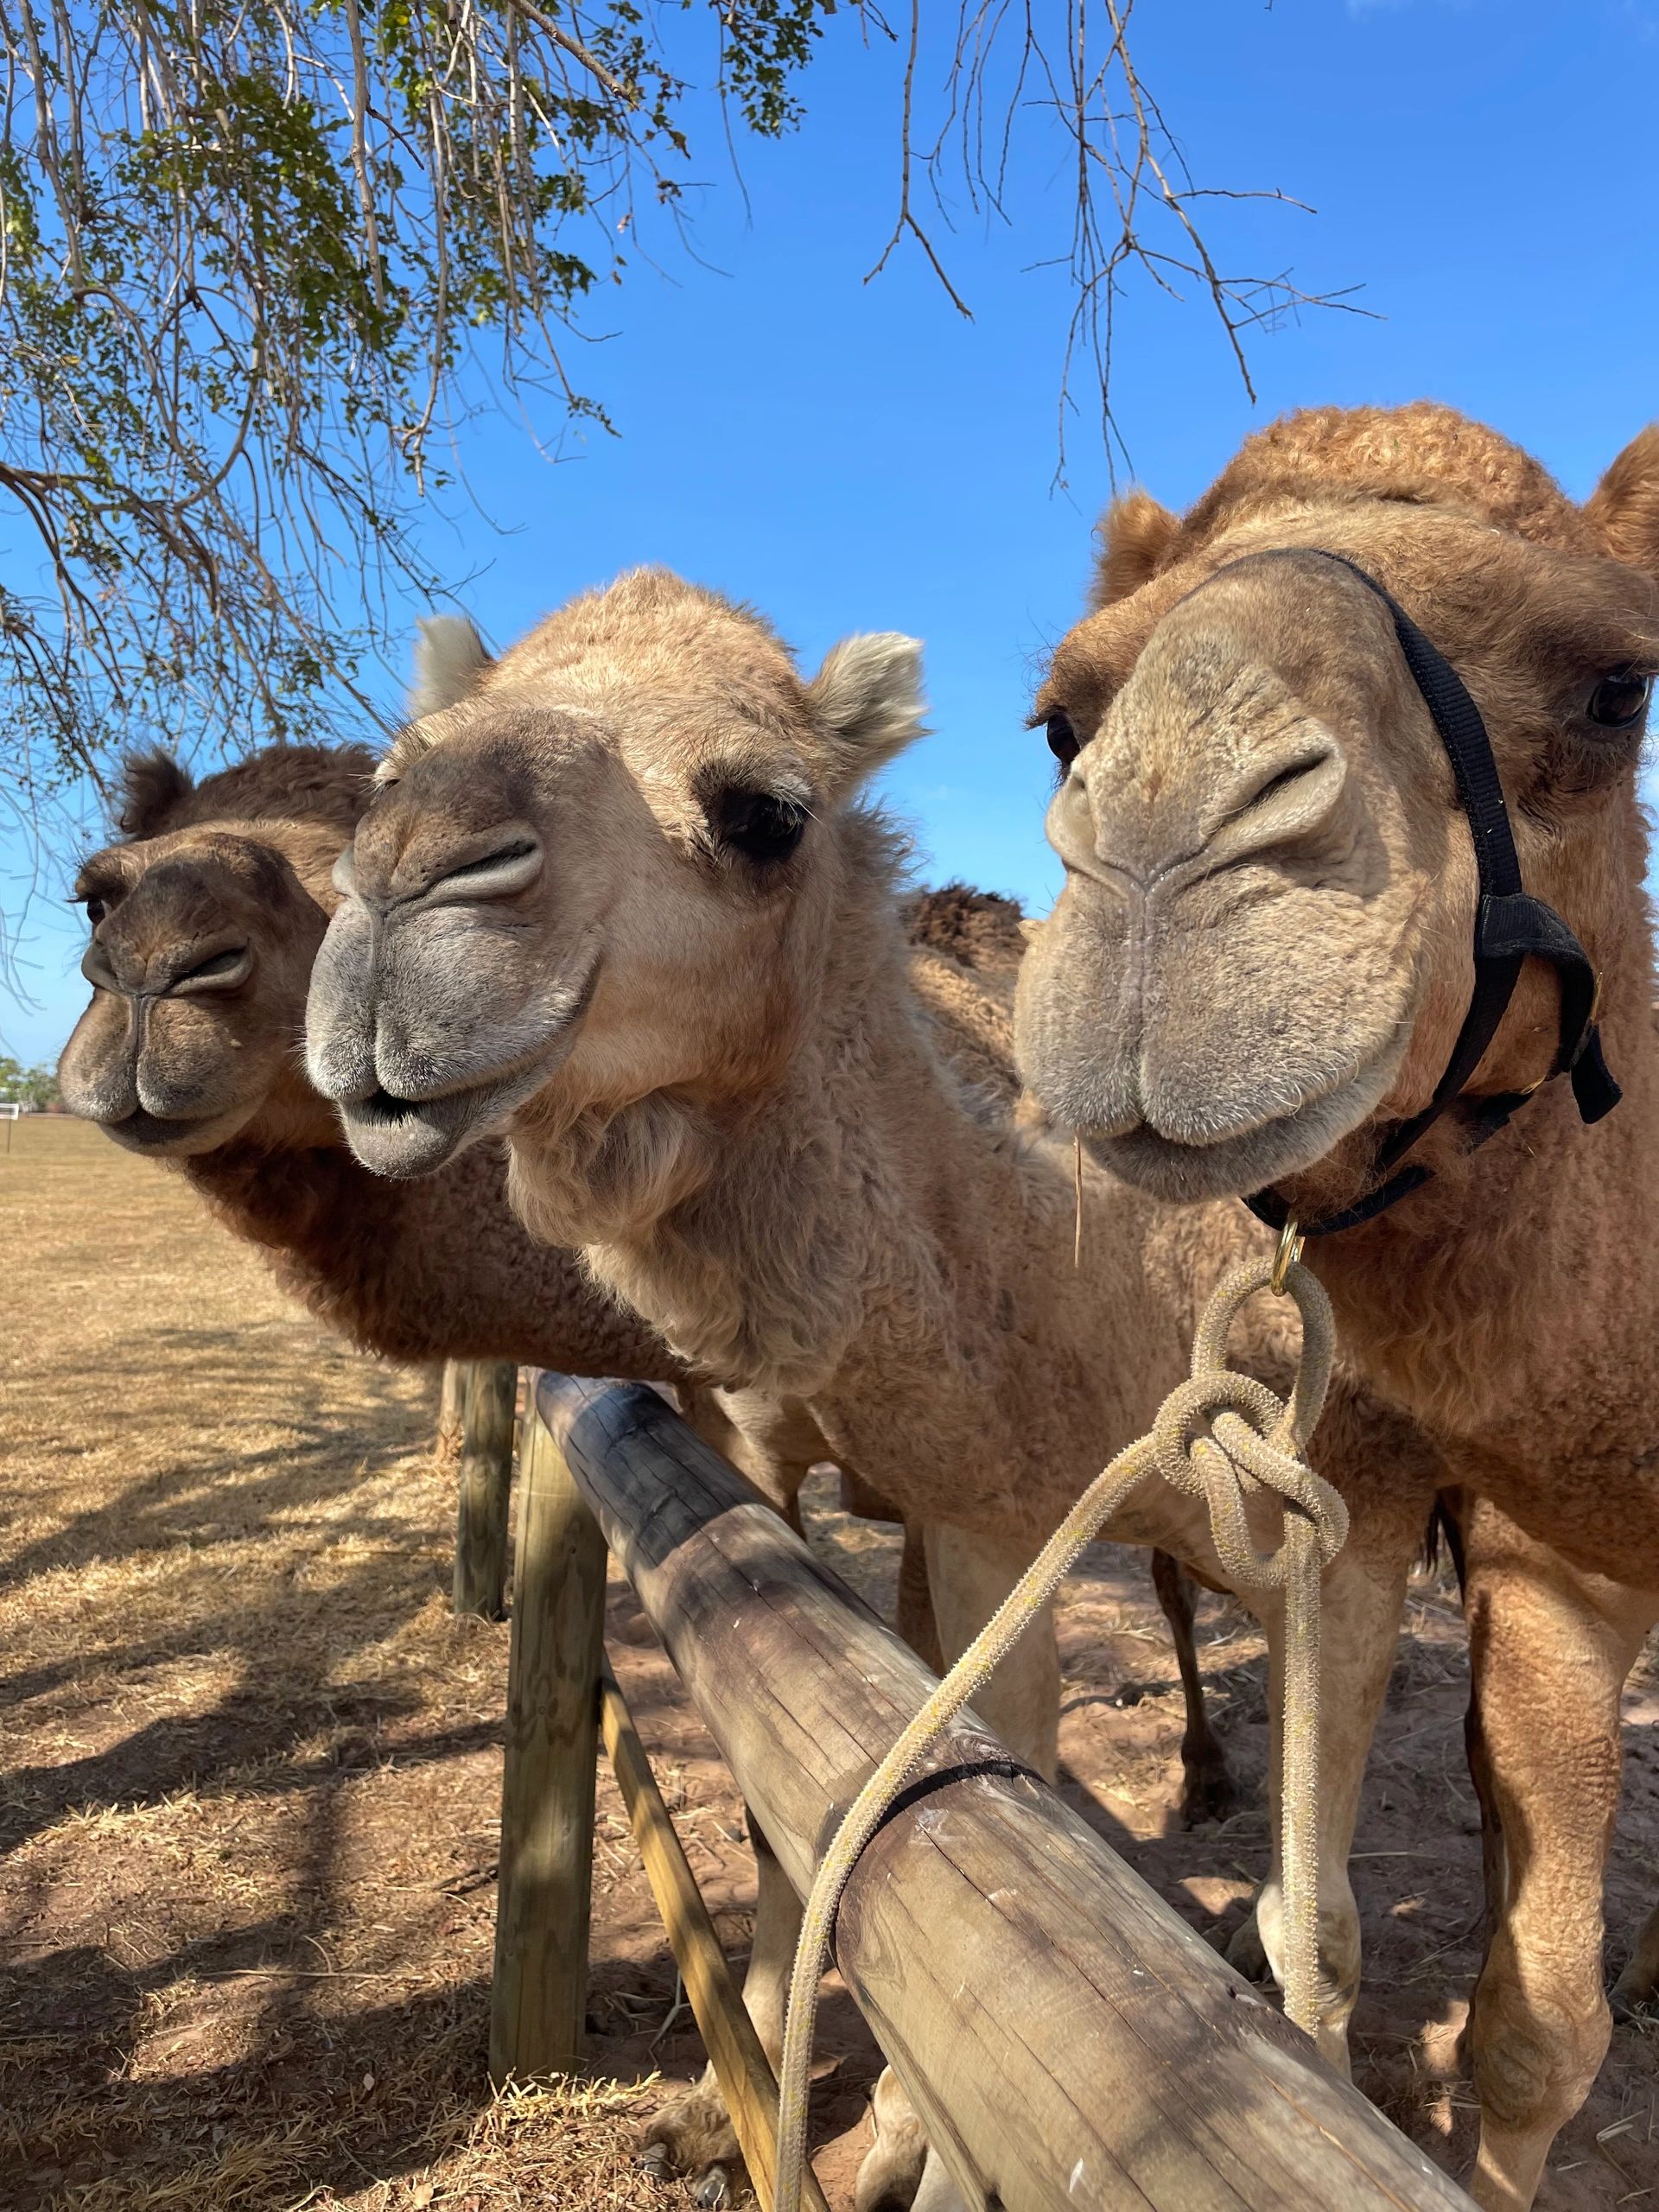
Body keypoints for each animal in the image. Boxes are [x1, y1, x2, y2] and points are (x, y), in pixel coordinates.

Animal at [301, 569, 1443, 2208]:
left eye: (766, 811)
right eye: (403, 758)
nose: (405, 883)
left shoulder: (1189, 1519)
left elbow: (1191, 1880)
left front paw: (916, 2138)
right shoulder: (822, 1469)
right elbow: (817, 1785)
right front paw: (716, 2108)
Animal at [1012, 400, 1659, 2210]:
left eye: (1620, 688)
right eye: (1060, 720)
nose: (1163, 839)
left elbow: (1540, 2030)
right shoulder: (1426, 1513)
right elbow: (1353, 1948)